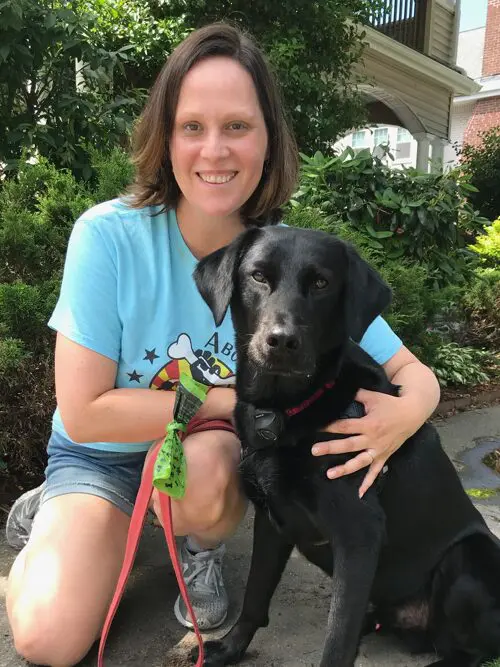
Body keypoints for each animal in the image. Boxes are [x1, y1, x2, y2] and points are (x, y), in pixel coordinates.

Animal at [192, 226, 500, 667]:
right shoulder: (271, 520)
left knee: (470, 651)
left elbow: (336, 638)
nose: (281, 342)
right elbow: (254, 596)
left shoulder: (358, 534)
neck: (286, 410)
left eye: (321, 283)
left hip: (469, 558)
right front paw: (231, 648)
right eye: (258, 276)